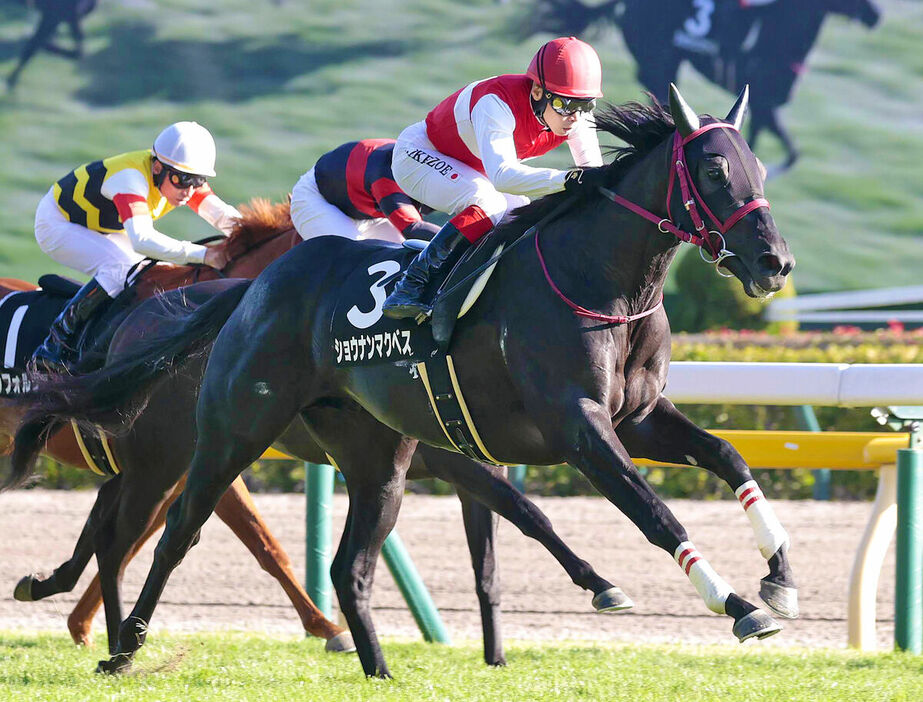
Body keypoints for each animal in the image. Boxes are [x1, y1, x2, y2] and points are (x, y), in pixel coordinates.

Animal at [10, 85, 796, 680]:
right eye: (715, 172)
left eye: (757, 167)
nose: (774, 262)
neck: (597, 280)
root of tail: (256, 285)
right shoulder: (577, 429)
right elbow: (650, 515)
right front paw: (736, 606)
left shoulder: (636, 418)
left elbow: (728, 458)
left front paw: (779, 580)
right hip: (224, 435)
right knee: (171, 533)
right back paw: (122, 651)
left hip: (374, 459)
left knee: (345, 566)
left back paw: (377, 670)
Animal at [528, 0, 880, 175]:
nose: (876, 15)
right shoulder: (765, 102)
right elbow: (788, 152)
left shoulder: (764, 106)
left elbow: (778, 148)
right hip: (660, 60)